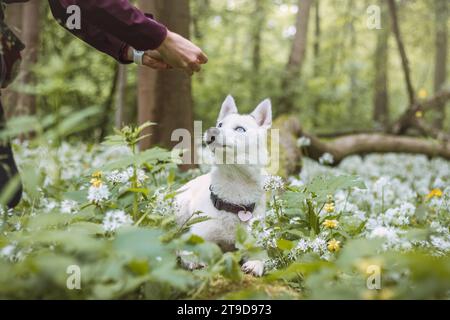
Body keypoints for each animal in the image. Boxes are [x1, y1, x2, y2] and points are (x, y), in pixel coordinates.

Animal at [174, 94, 270, 276]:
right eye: (220, 125)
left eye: (240, 129)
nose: (211, 131)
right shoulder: (199, 236)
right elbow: (189, 249)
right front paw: (193, 260)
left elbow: (261, 257)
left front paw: (255, 264)